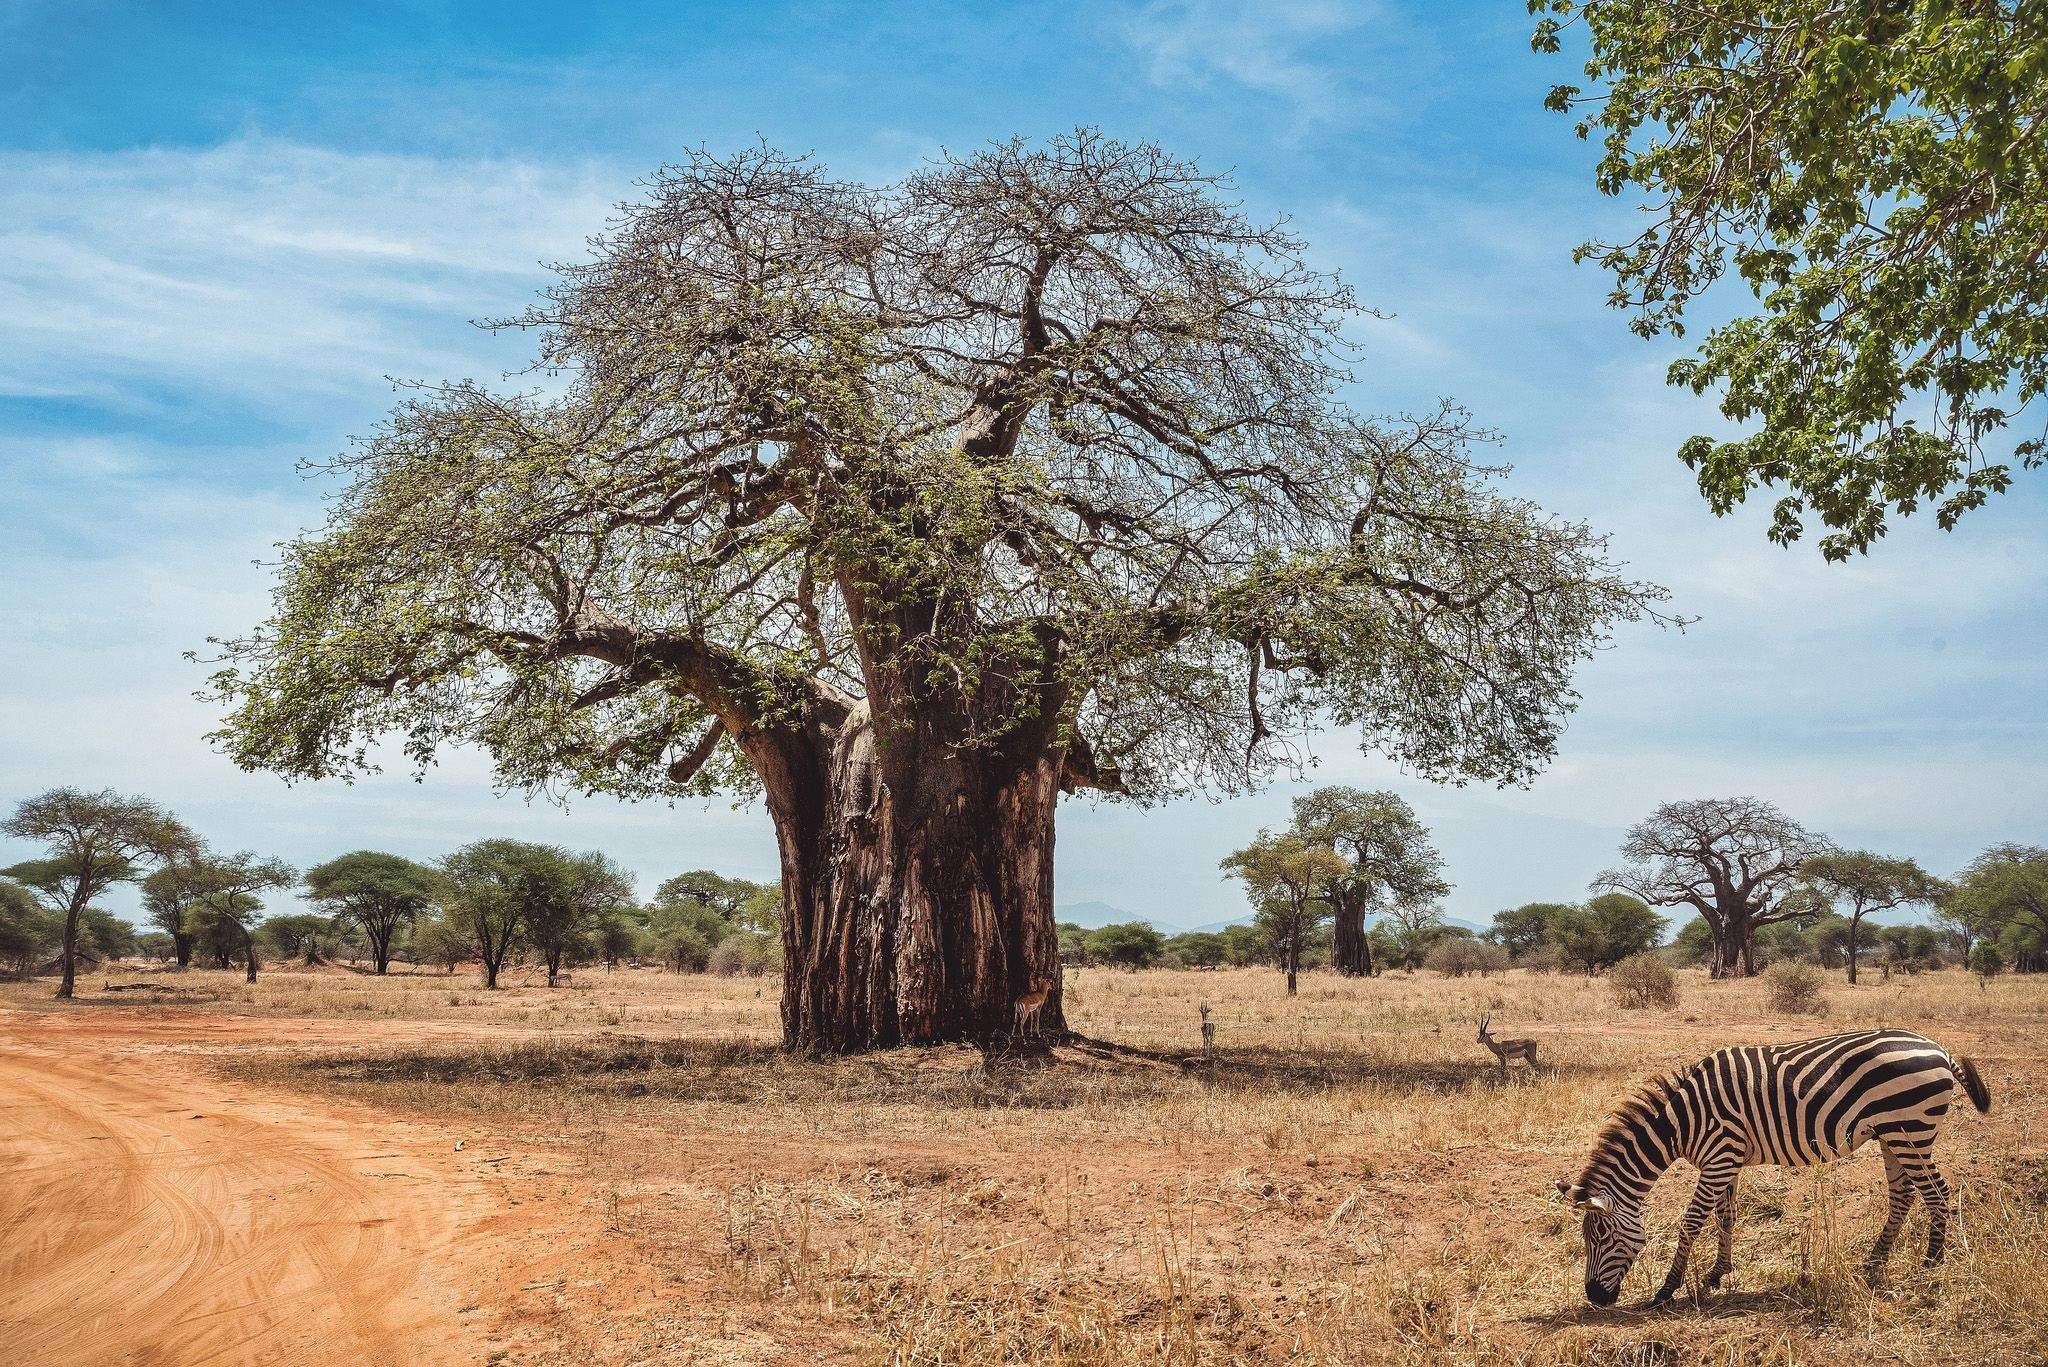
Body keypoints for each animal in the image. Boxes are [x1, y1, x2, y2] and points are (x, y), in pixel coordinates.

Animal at [1548, 1032, 1982, 1311]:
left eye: (1601, 1237)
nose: (1594, 1297)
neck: (1681, 1123)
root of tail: (1939, 1049)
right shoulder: (1726, 1160)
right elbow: (1725, 1217)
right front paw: (1716, 1275)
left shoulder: (1720, 1156)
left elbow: (1691, 1222)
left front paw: (1668, 1289)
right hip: (1892, 1134)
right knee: (1903, 1195)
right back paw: (1874, 1264)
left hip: (1912, 1131)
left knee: (1937, 1192)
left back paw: (1931, 1262)